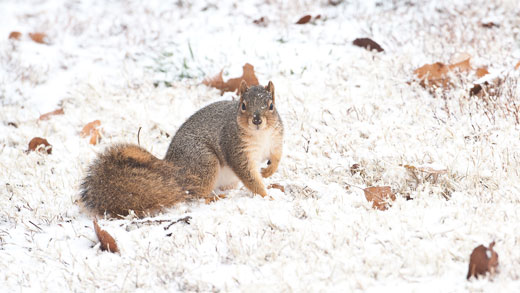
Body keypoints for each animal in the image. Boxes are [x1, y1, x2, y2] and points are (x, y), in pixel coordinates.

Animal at [80, 80, 284, 217]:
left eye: (271, 106)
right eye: (243, 106)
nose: (256, 120)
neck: (261, 135)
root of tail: (172, 168)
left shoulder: (275, 141)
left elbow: (276, 157)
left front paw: (268, 172)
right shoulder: (236, 149)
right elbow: (249, 177)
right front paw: (266, 195)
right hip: (204, 162)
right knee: (194, 194)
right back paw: (213, 198)